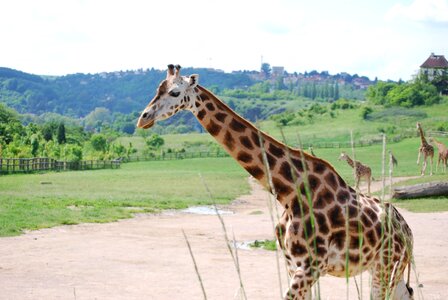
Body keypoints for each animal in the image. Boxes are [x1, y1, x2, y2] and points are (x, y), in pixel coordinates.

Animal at [136, 65, 412, 300]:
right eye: (157, 89)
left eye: (175, 92)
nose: (143, 118)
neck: (288, 193)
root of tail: (407, 230)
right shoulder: (293, 265)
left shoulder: (309, 268)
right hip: (389, 270)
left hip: (386, 266)